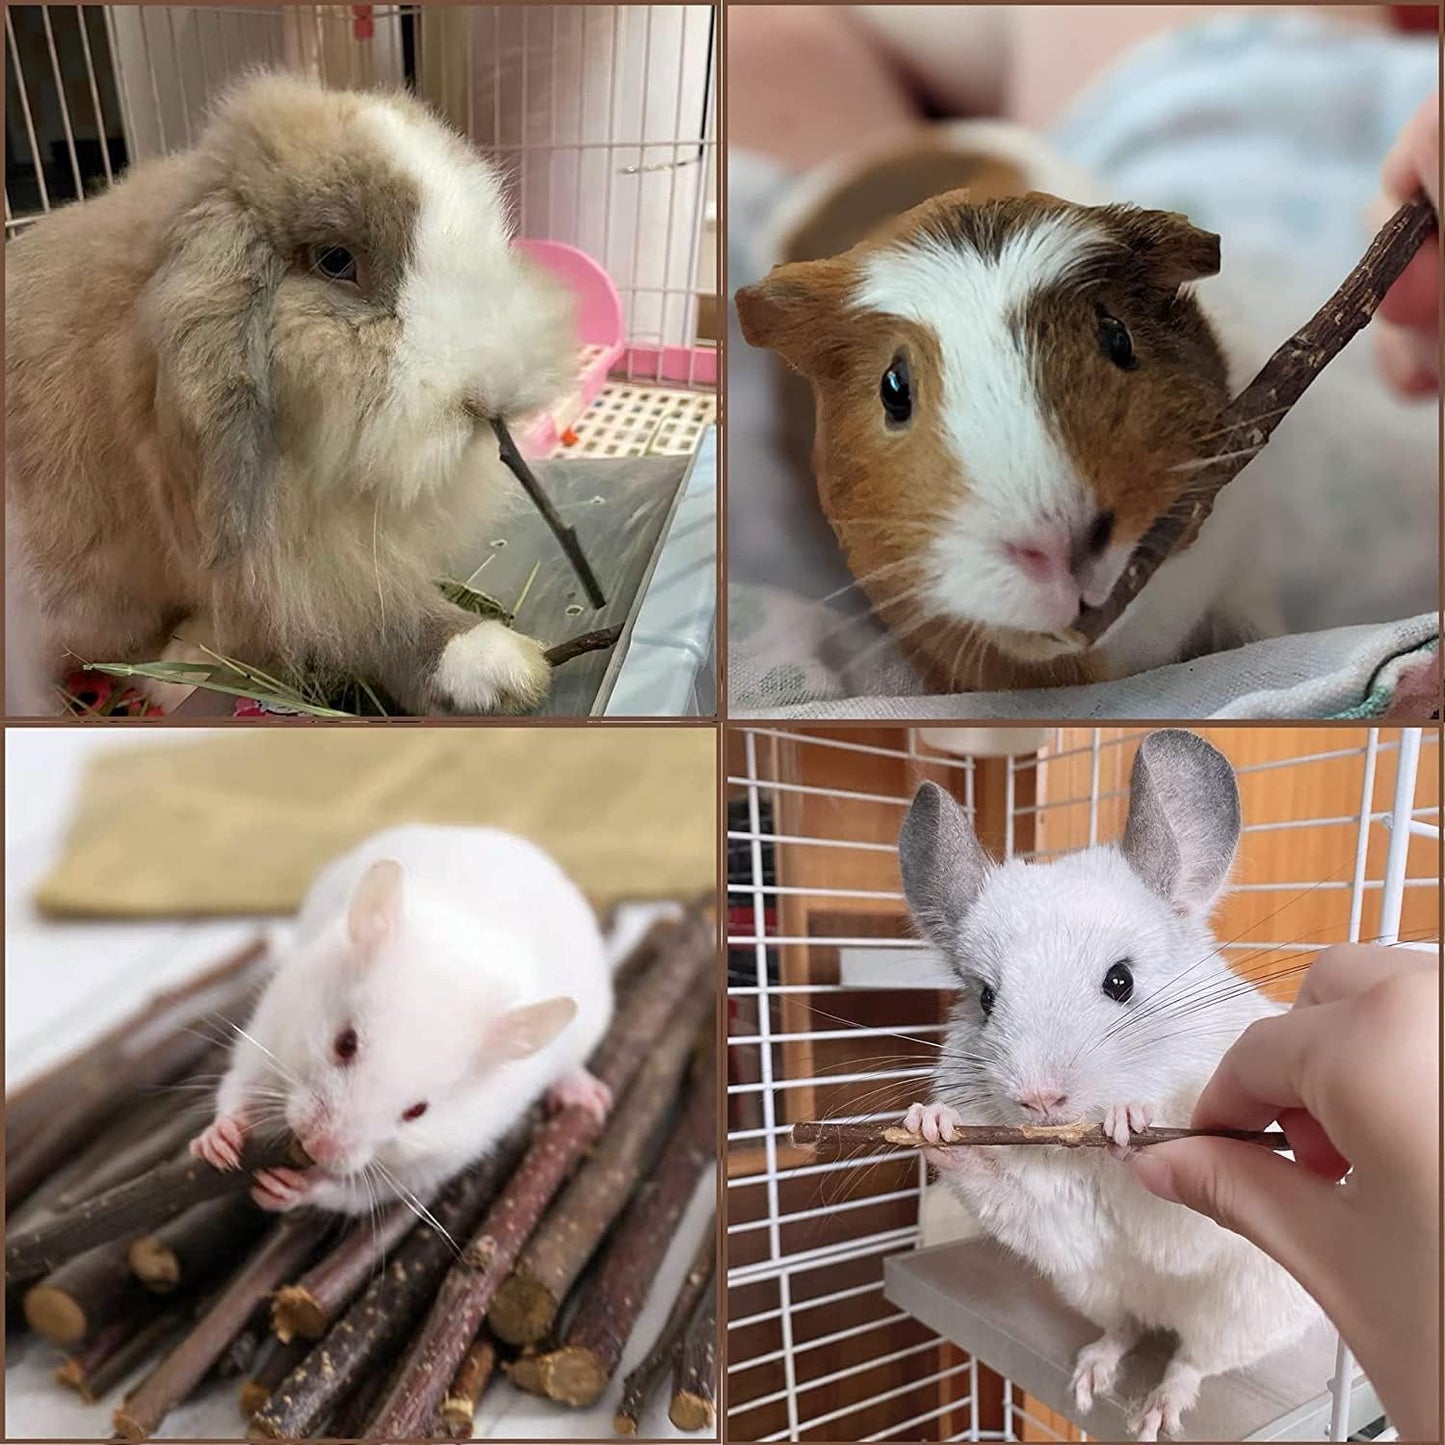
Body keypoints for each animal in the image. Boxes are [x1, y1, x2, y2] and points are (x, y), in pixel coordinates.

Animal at [190, 824, 613, 1216]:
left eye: (417, 1111)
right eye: (345, 1043)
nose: (316, 1147)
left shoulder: (431, 1165)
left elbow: (361, 1192)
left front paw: (285, 1189)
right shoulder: (270, 1027)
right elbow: (238, 1085)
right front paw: (217, 1143)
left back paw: (593, 1098)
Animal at [896, 730, 1323, 1440]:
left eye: (1120, 981)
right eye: (984, 998)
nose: (1040, 1098)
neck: (1082, 1157)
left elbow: (1181, 1218)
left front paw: (1130, 1119)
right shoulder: (1046, 1215)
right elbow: (1002, 1188)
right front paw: (931, 1123)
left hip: (1243, 1316)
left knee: (1191, 1361)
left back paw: (1155, 1413)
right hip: (1093, 1289)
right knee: (1125, 1328)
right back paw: (1091, 1377)